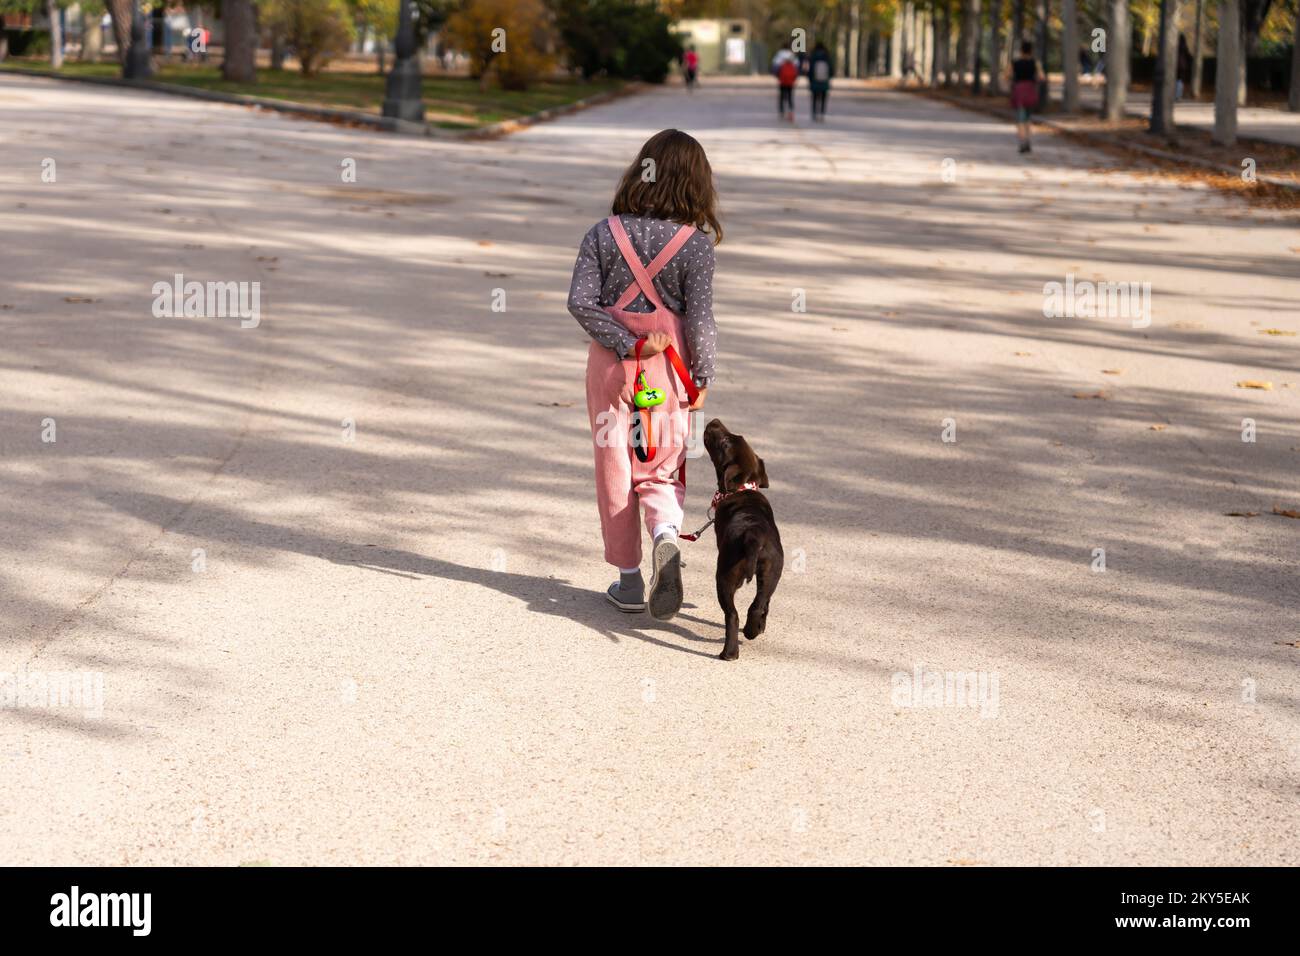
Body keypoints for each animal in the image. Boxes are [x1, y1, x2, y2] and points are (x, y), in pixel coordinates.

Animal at [702, 421, 780, 660]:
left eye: (725, 442)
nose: (714, 421)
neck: (743, 488)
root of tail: (753, 534)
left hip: (724, 577)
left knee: (732, 614)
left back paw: (729, 652)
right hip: (772, 572)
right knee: (758, 604)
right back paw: (752, 631)